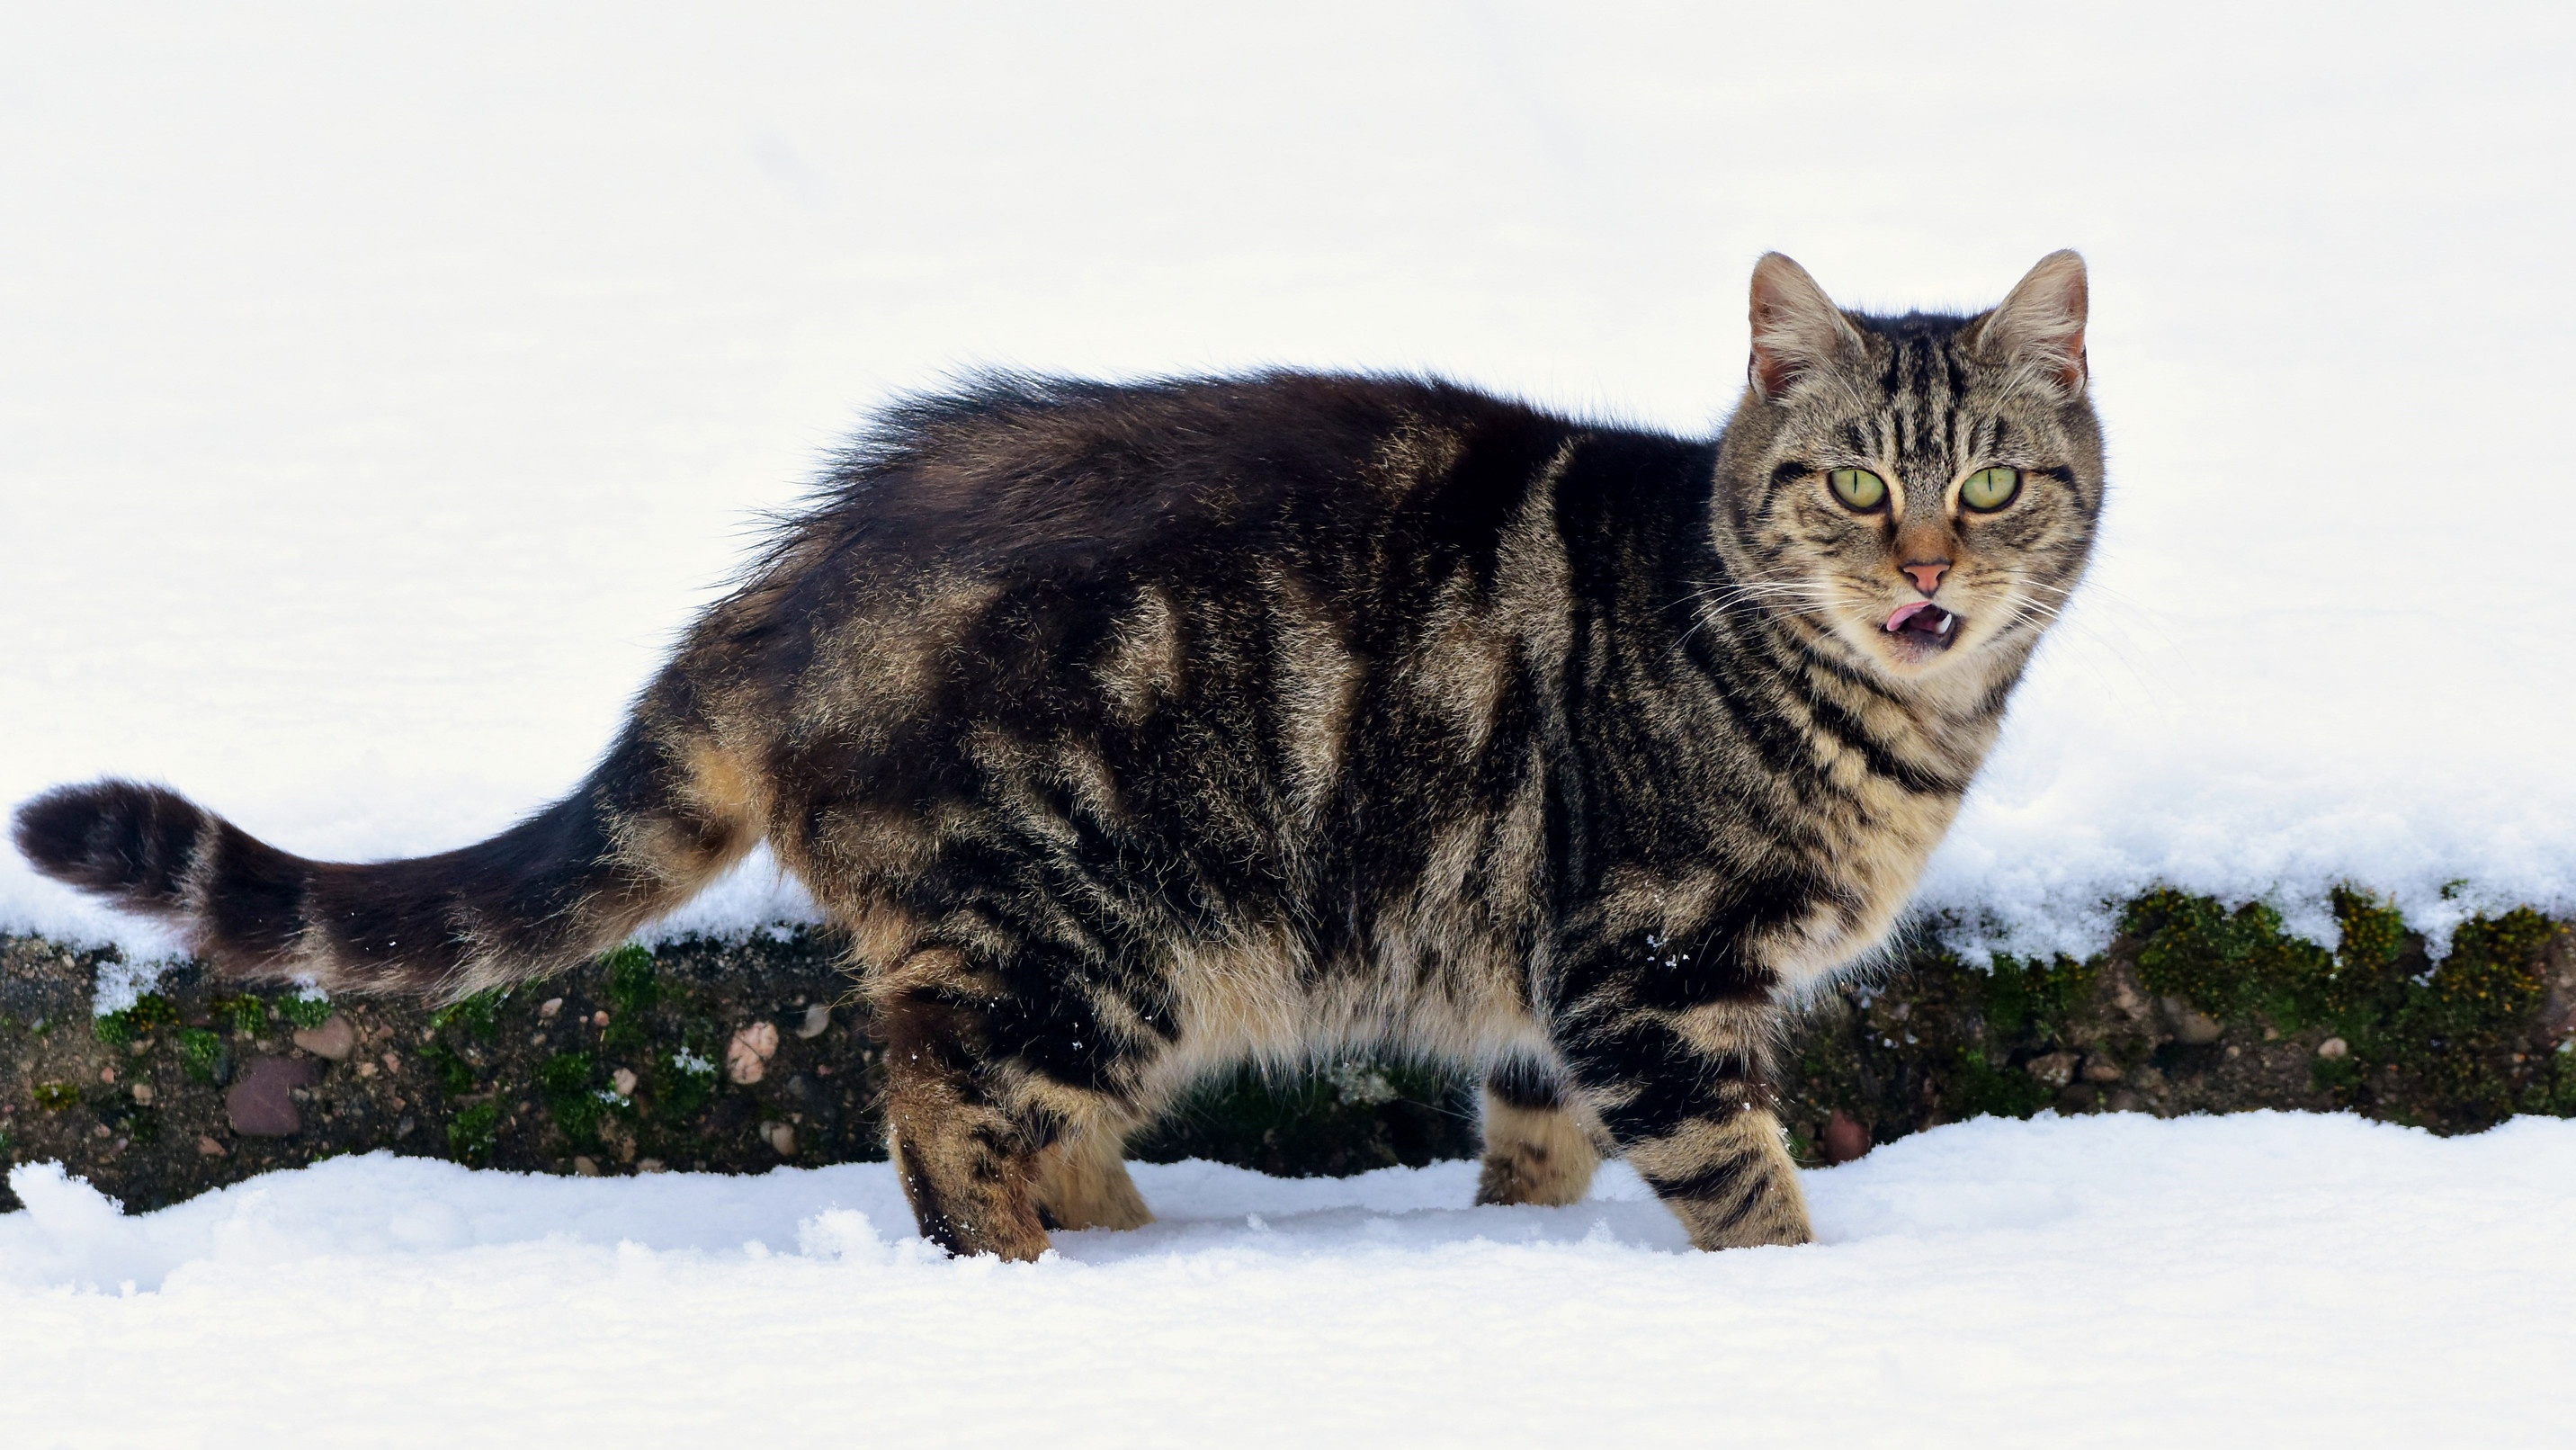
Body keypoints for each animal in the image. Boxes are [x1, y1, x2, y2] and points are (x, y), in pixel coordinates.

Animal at [14, 249, 2091, 1261]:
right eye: (1849, 486)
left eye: (1989, 482)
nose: (1924, 566)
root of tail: (788, 582)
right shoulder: (1644, 964)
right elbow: (1739, 1177)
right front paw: (1795, 1301)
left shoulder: (1536, 980)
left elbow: (1533, 1145)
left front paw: (1508, 1244)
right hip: (1079, 927)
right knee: (939, 1114)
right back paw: (1027, 1296)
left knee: (1037, 1118)